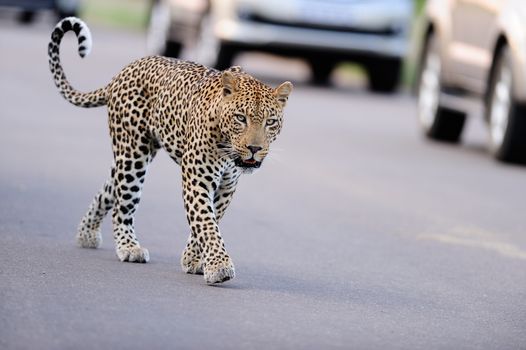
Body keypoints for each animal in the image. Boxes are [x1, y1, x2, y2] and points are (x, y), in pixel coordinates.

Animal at [48, 17, 292, 284]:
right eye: (240, 118)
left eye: (270, 122)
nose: (254, 148)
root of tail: (123, 71)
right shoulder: (197, 179)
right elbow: (206, 222)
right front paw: (219, 266)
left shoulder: (227, 185)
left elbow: (208, 220)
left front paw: (193, 260)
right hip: (133, 156)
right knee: (123, 204)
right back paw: (128, 247)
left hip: (130, 154)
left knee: (109, 189)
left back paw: (86, 233)